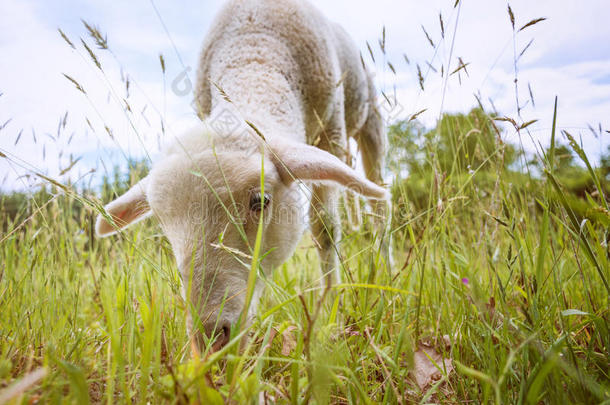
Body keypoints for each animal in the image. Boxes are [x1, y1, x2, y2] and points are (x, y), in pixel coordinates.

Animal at [95, 0, 390, 348]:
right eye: (163, 222)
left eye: (260, 202)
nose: (210, 335)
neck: (256, 53)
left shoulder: (331, 131)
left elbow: (325, 230)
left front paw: (329, 306)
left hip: (368, 117)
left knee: (379, 201)